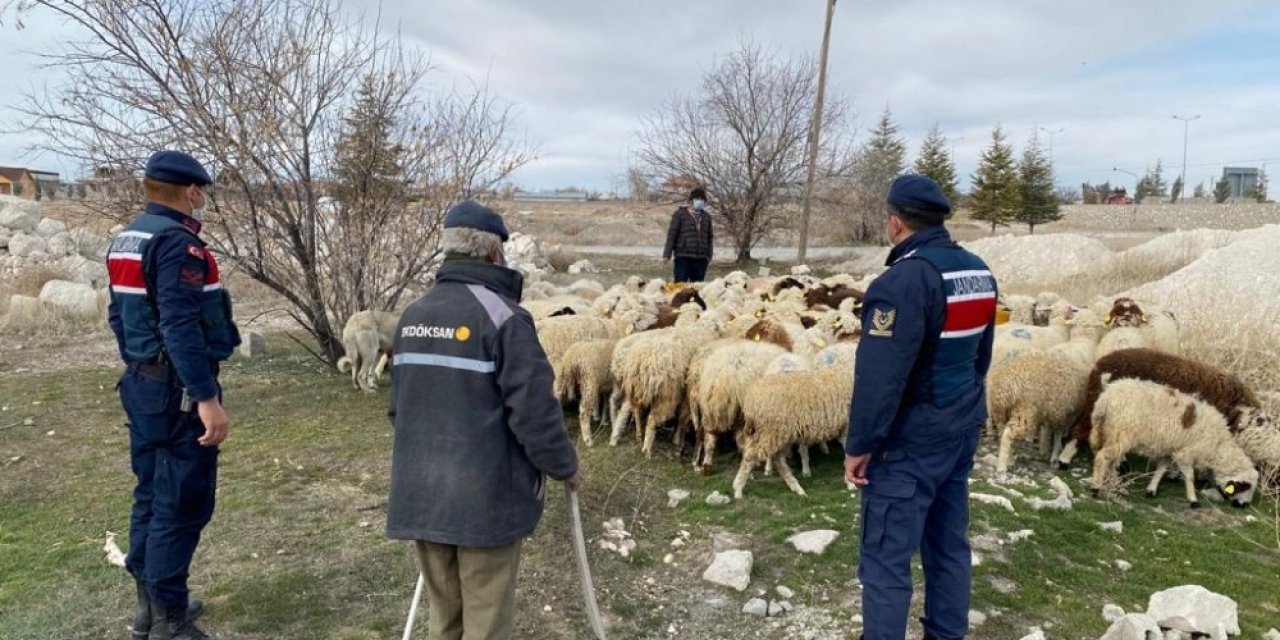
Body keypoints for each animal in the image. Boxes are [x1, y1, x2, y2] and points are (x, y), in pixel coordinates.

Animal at [1090, 373, 1259, 509]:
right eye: (1245, 486)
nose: (1243, 505)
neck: (1218, 446)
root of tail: (1107, 395)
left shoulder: (1170, 450)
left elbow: (1161, 469)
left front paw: (1151, 490)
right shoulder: (1184, 453)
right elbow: (1189, 476)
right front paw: (1193, 500)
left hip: (1109, 432)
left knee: (1111, 461)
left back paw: (1115, 485)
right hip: (1121, 433)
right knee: (1103, 458)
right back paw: (1096, 489)